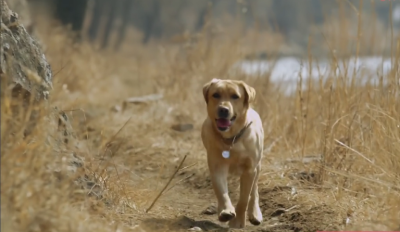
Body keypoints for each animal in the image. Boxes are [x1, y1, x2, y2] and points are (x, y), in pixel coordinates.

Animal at [202, 78, 264, 228]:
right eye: (216, 94)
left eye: (235, 96)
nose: (223, 109)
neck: (232, 139)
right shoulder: (217, 166)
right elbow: (221, 192)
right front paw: (226, 211)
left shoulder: (250, 169)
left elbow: (244, 198)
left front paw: (237, 222)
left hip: (258, 165)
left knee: (254, 190)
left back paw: (255, 213)